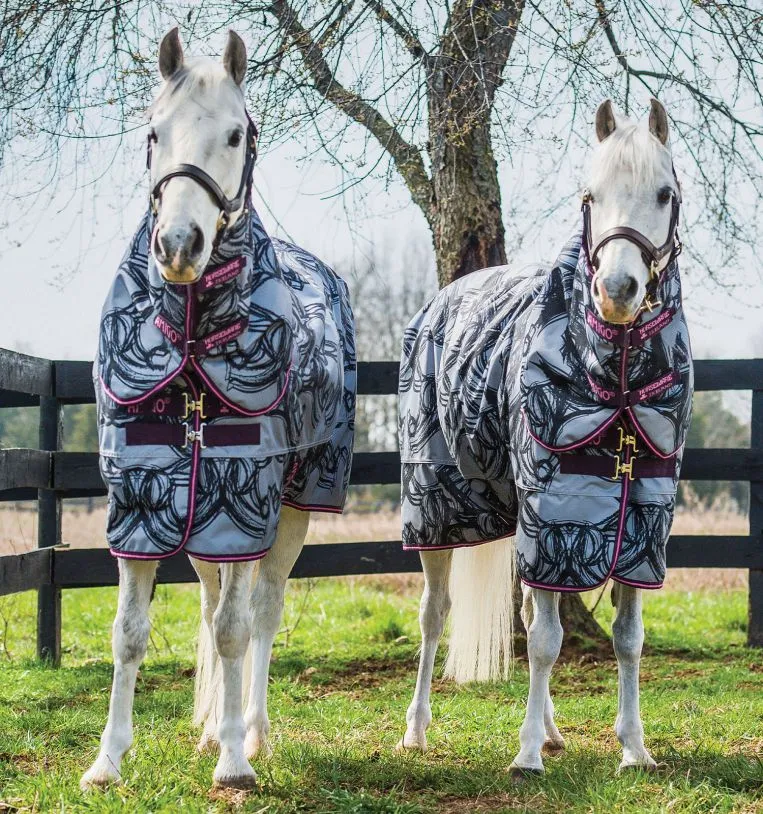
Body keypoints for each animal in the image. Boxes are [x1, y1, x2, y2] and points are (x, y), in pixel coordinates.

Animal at [81, 29, 355, 790]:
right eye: (154, 131)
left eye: (235, 134)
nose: (179, 245)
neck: (193, 334)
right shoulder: (140, 498)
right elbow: (129, 632)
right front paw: (108, 760)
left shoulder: (245, 496)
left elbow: (236, 630)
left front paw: (235, 761)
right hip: (202, 516)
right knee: (211, 605)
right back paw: (211, 728)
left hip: (287, 508)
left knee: (260, 612)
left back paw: (250, 730)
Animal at [397, 99, 692, 776]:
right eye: (590, 194)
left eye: (664, 194)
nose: (617, 292)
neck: (615, 374)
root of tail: (446, 299)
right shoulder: (552, 519)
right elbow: (545, 642)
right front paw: (526, 752)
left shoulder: (637, 529)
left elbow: (627, 640)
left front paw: (634, 747)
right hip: (436, 512)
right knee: (434, 616)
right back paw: (417, 730)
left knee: (529, 607)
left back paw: (556, 731)